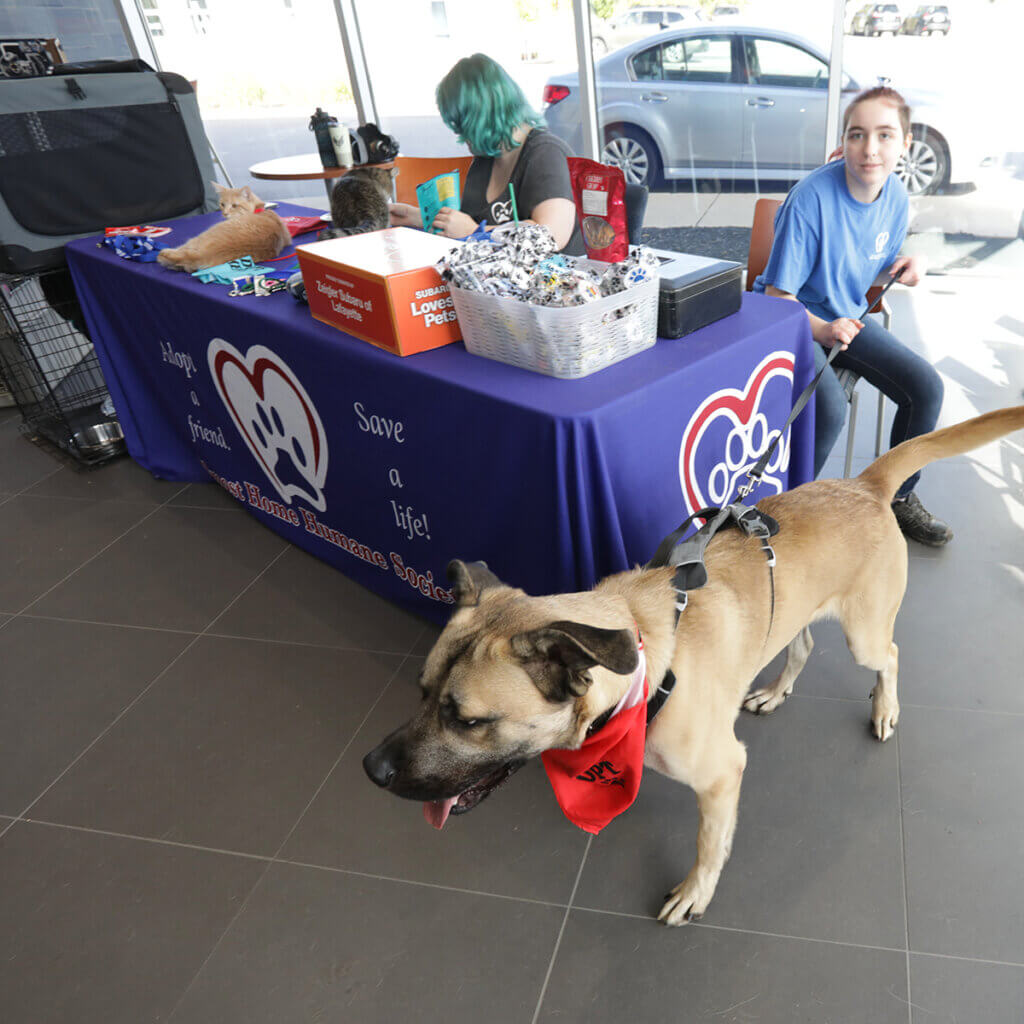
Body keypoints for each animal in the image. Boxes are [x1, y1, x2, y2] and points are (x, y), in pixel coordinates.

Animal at [157, 183, 292, 272]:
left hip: (198, 238)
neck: (258, 210)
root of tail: (204, 255)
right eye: (222, 204)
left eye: (234, 205)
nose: (225, 213)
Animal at [364, 407, 1019, 929]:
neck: (644, 669)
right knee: (803, 645)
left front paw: (696, 892)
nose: (370, 769)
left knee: (890, 657)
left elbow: (710, 844)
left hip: (865, 634)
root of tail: (864, 482)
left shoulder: (723, 774)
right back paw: (775, 691)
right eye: (421, 692)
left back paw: (885, 708)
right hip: (798, 615)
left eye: (468, 721)